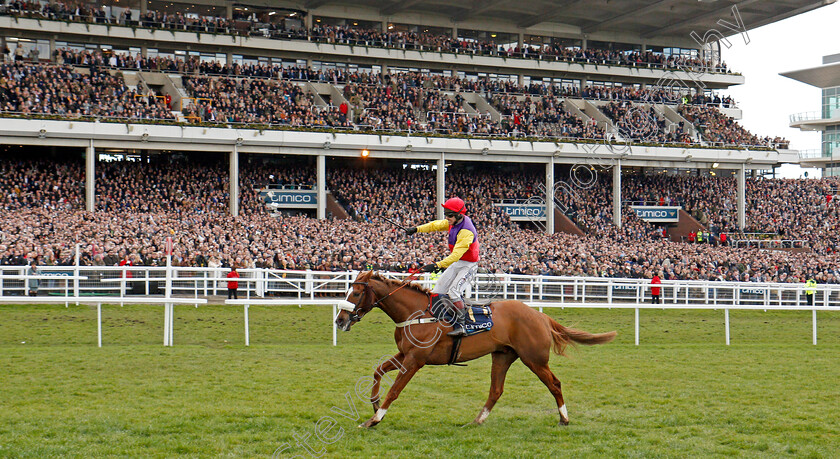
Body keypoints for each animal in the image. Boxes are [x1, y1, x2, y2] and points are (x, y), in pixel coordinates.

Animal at [334, 272, 616, 430]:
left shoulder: (415, 360)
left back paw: (564, 419)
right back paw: (477, 420)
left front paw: (374, 419)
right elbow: (377, 371)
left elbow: (394, 390)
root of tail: (540, 316)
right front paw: (374, 404)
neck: (416, 313)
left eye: (356, 293)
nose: (340, 320)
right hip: (502, 356)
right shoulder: (405, 355)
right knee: (496, 390)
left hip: (534, 359)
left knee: (554, 384)